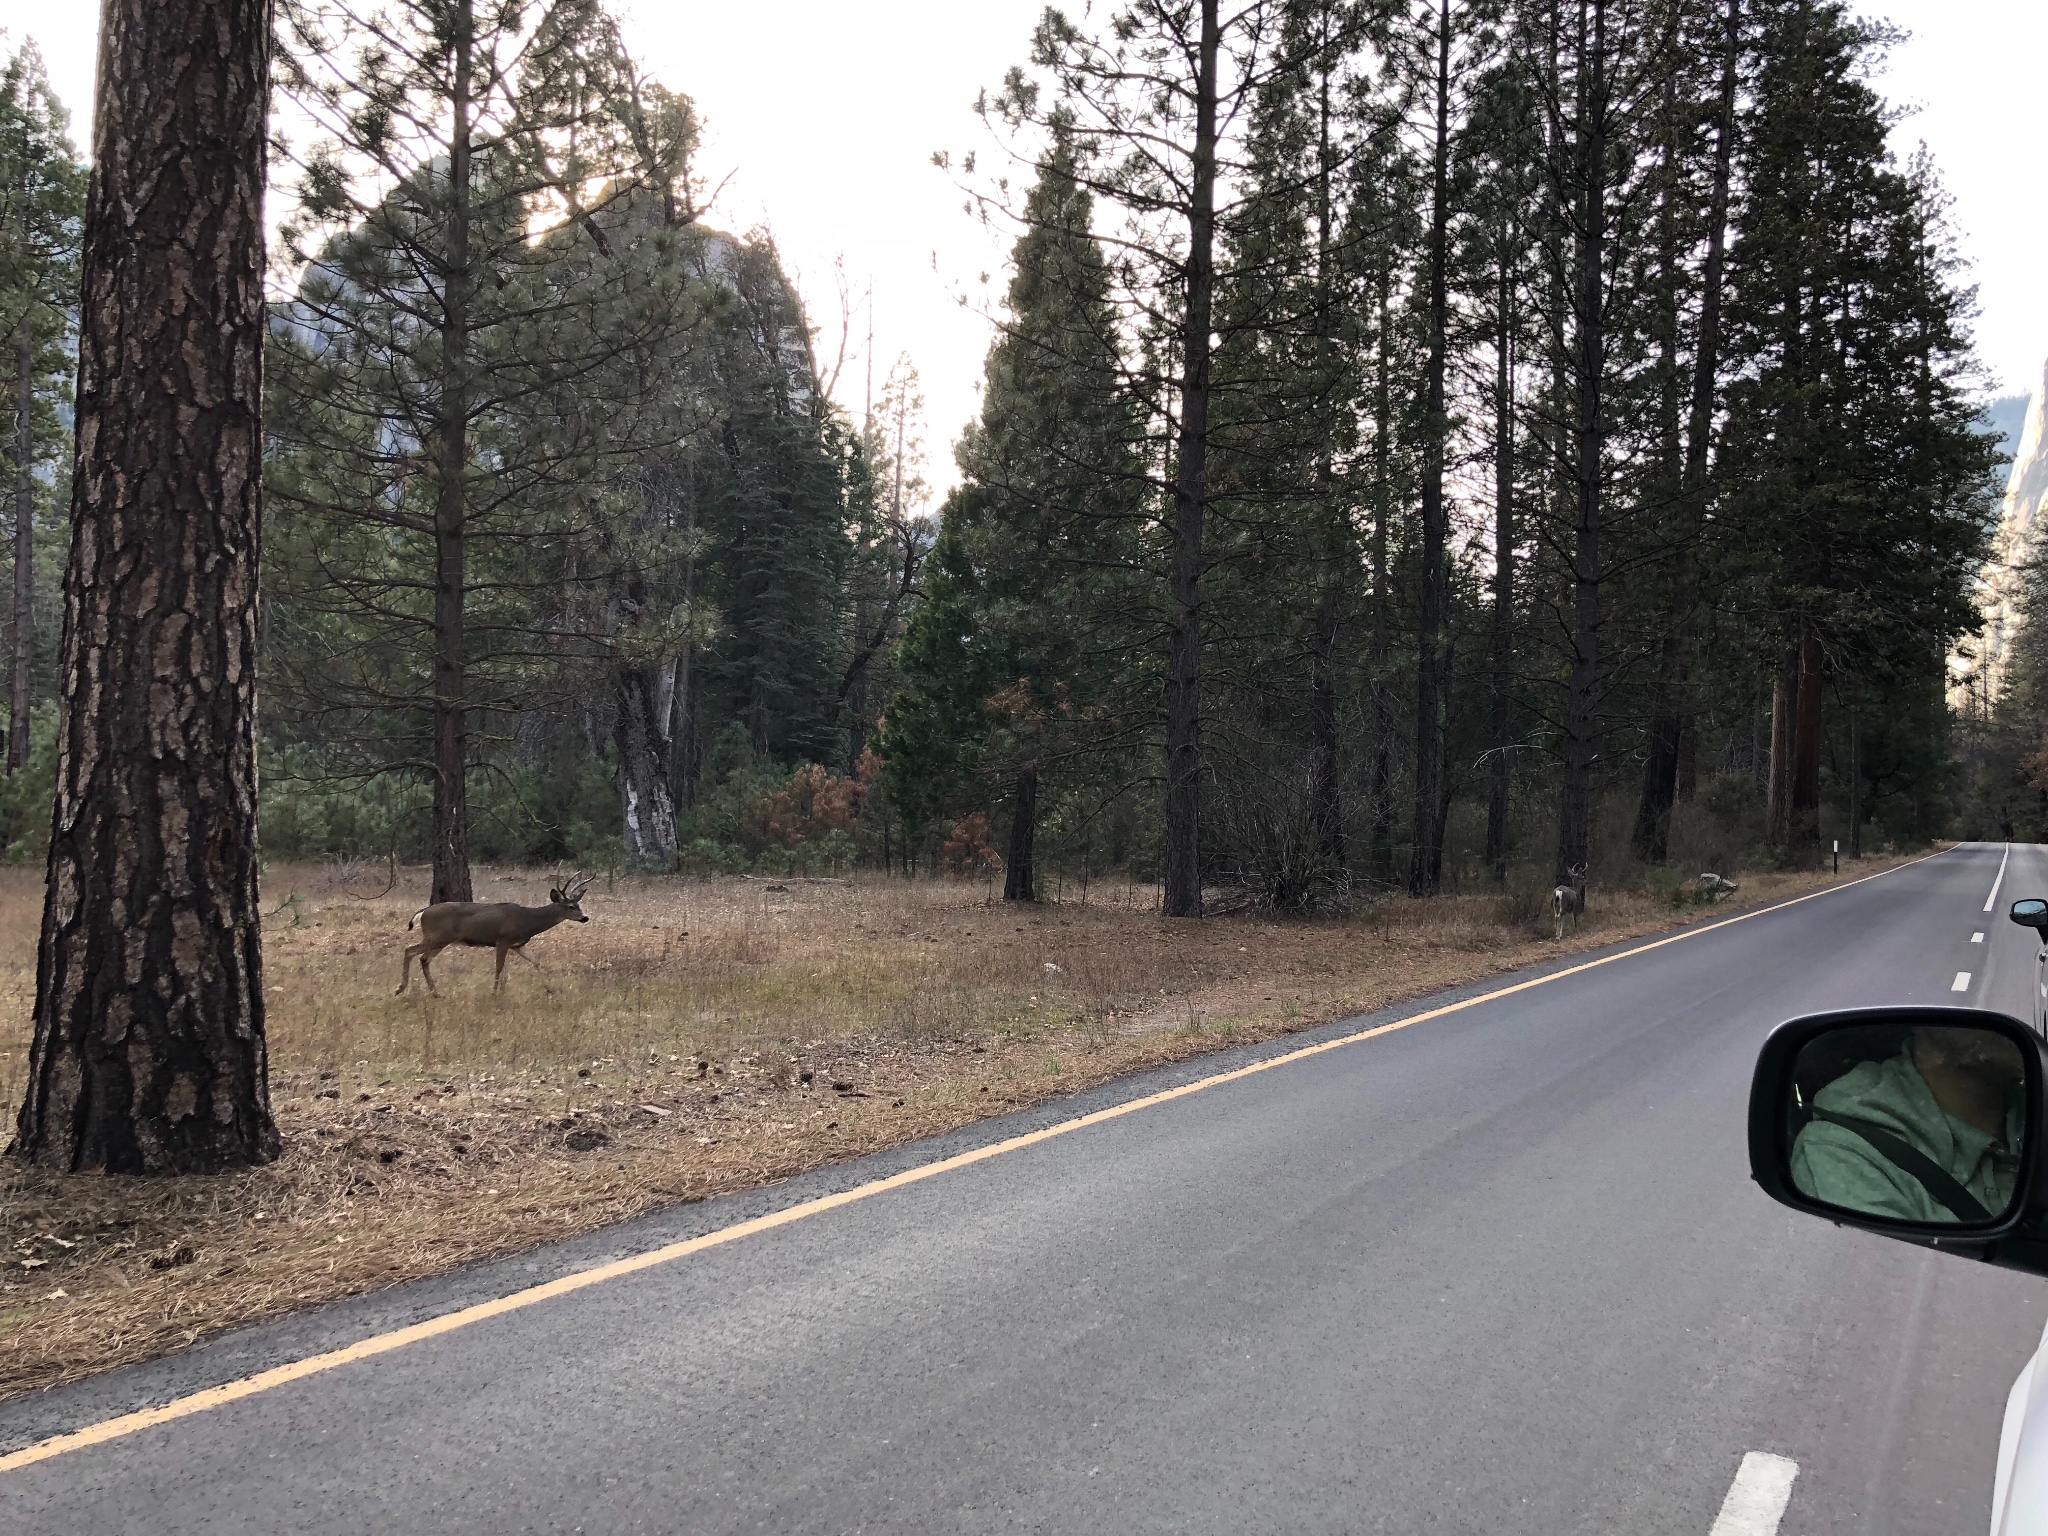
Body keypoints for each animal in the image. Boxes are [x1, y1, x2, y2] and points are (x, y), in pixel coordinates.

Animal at [395, 876, 598, 999]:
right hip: (438, 937)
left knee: (417, 955)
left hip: (436, 940)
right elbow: (499, 968)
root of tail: (423, 912)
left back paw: (426, 992)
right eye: (570, 907)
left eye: (578, 904)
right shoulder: (502, 940)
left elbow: (535, 962)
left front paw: (550, 990)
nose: (585, 917)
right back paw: (409, 989)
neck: (527, 921)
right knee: (415, 953)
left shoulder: (516, 944)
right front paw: (494, 994)